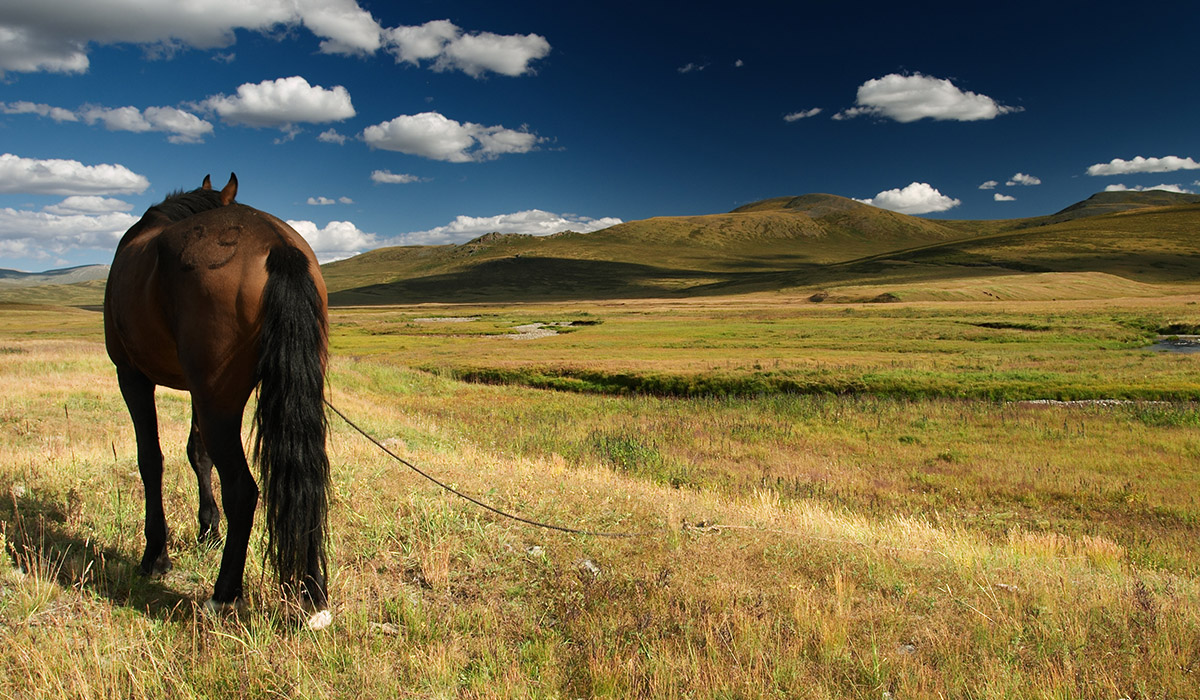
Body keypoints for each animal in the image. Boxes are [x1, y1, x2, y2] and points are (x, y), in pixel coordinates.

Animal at [104, 172, 333, 629]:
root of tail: (278, 245)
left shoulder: (131, 375)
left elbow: (150, 459)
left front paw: (155, 556)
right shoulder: (196, 389)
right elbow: (198, 453)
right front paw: (208, 530)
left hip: (216, 401)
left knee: (243, 490)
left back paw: (223, 596)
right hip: (239, 395)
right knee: (308, 480)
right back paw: (313, 597)